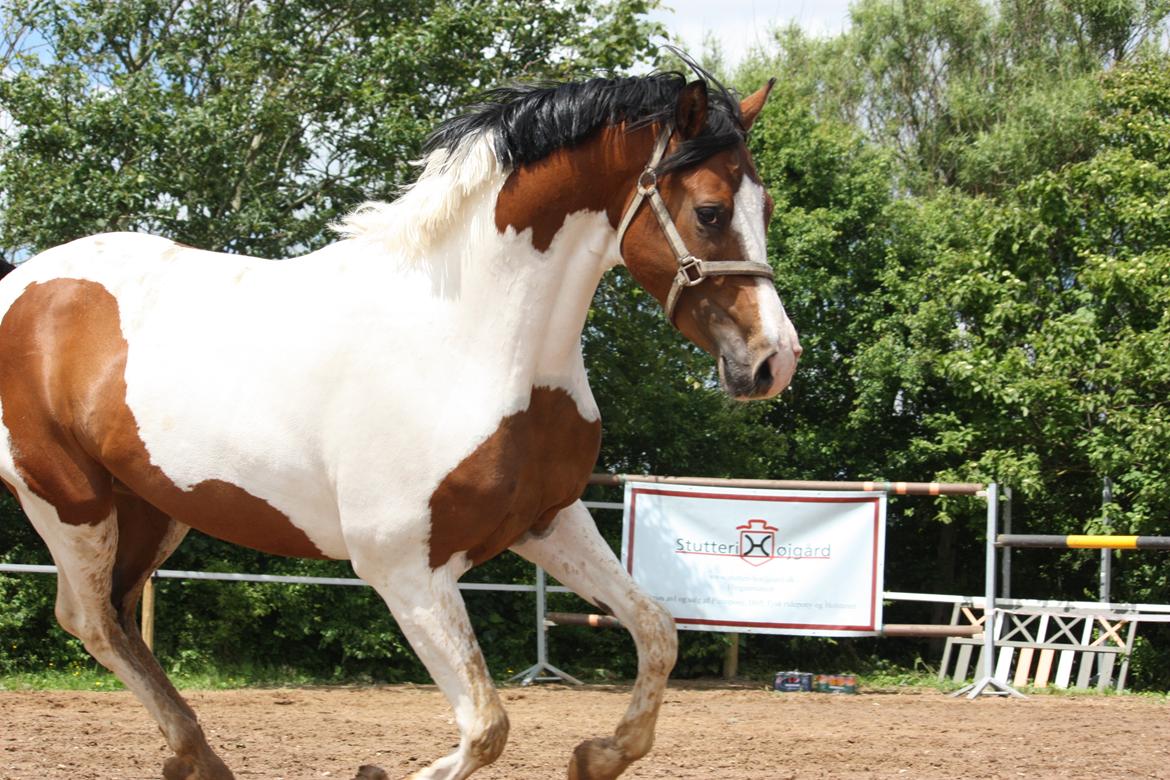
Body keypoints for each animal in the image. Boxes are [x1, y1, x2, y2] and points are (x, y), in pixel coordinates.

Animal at [0, 68, 800, 780]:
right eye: (709, 211)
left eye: (763, 208)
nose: (774, 360)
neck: (467, 335)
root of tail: (21, 284)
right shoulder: (405, 569)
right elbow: (486, 726)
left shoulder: (549, 520)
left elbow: (657, 631)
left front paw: (596, 756)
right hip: (68, 501)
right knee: (90, 618)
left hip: (151, 506)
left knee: (117, 616)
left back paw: (196, 757)